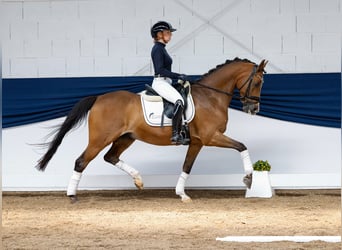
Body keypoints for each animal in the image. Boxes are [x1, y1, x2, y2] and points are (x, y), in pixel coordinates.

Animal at [36, 57, 268, 202]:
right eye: (258, 82)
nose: (253, 109)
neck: (210, 97)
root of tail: (99, 98)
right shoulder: (210, 137)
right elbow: (242, 146)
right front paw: (249, 178)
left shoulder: (197, 142)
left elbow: (187, 166)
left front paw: (181, 194)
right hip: (100, 139)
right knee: (81, 161)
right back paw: (72, 195)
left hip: (125, 138)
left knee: (110, 157)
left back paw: (138, 180)